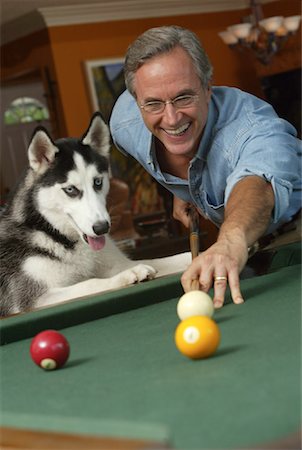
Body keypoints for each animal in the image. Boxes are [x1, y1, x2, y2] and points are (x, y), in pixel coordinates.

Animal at [0, 112, 190, 316]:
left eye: (97, 182)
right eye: (70, 189)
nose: (102, 228)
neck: (58, 235)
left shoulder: (119, 262)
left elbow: (172, 258)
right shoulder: (35, 299)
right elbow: (90, 283)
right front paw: (127, 276)